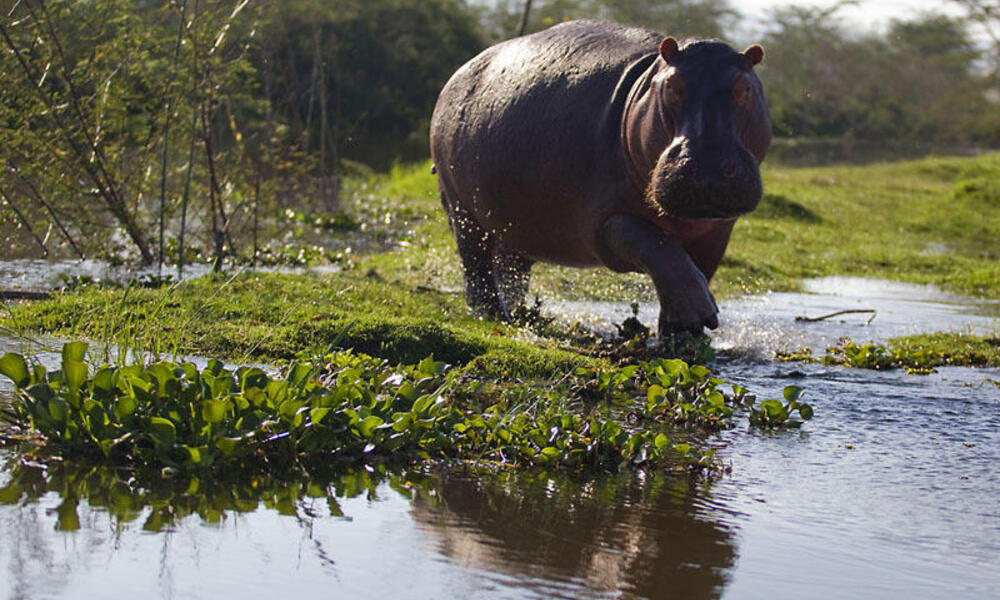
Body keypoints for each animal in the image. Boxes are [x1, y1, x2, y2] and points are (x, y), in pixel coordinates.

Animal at [430, 18, 772, 338]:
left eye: (745, 87)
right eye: (672, 86)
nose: (706, 165)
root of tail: (456, 75)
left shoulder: (717, 231)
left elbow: (695, 267)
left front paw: (684, 333)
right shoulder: (602, 221)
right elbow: (656, 245)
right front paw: (700, 311)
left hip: (513, 222)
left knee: (510, 266)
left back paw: (516, 310)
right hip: (460, 207)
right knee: (475, 262)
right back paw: (493, 314)